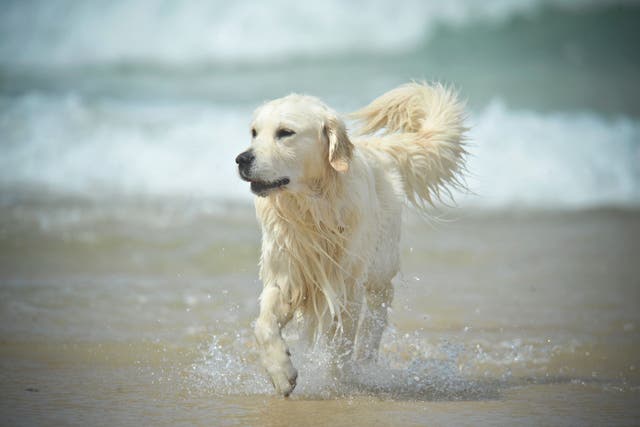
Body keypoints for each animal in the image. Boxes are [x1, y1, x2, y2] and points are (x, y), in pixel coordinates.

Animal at [235, 82, 464, 396]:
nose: (241, 159)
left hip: (381, 265)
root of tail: (378, 147)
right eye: (254, 132)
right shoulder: (287, 274)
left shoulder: (345, 285)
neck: (311, 208)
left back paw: (365, 360)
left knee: (378, 309)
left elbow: (340, 343)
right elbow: (263, 325)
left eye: (285, 132)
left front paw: (338, 383)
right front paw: (281, 373)